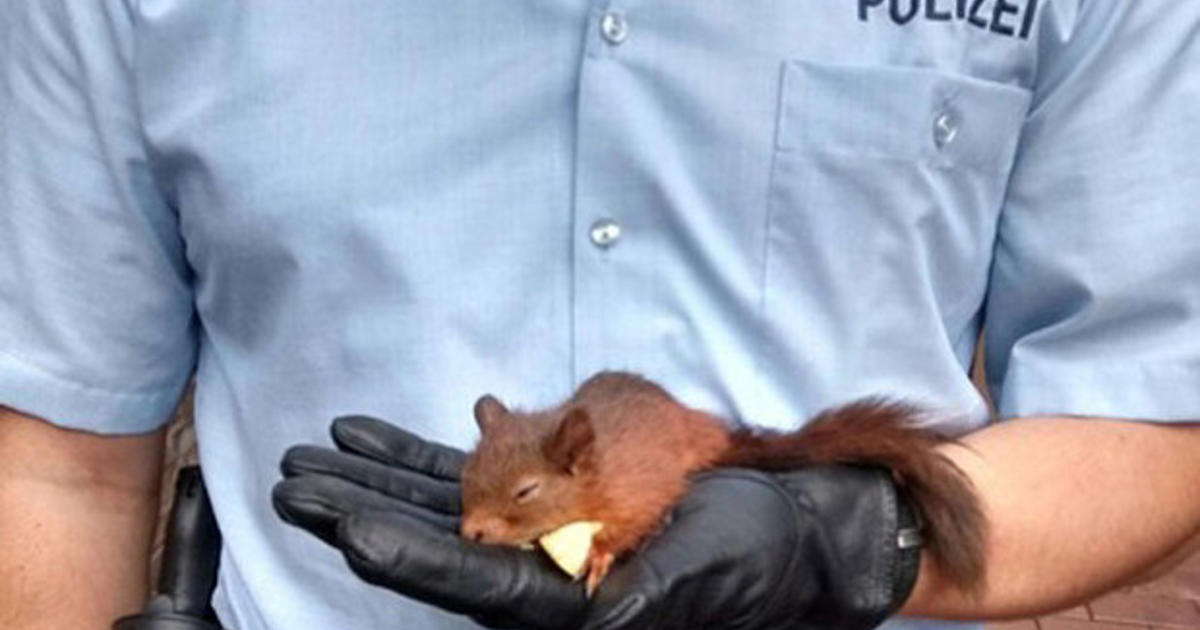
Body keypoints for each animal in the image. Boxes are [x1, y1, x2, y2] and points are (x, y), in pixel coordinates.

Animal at [458, 372, 984, 597]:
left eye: (526, 491)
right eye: (468, 475)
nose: (470, 532)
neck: (596, 475)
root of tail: (698, 428)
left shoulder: (636, 489)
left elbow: (631, 524)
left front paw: (600, 557)